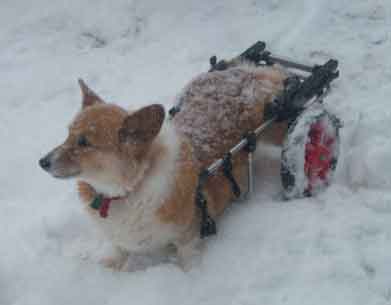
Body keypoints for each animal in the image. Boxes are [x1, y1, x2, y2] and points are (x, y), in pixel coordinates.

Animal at [39, 63, 290, 270]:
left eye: (84, 142)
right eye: (68, 134)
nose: (42, 162)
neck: (129, 189)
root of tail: (243, 71)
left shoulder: (188, 238)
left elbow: (187, 262)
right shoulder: (117, 236)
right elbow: (116, 251)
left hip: (278, 123)